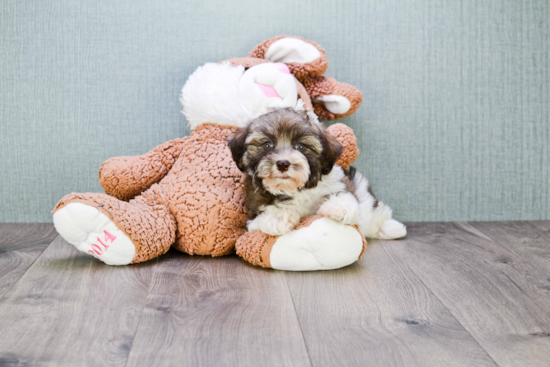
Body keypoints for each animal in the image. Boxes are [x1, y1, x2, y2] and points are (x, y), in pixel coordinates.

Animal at [230, 108, 410, 242]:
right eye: (267, 145)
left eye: (301, 147)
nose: (282, 163)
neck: (296, 190)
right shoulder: (252, 212)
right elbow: (261, 217)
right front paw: (279, 217)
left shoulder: (338, 182)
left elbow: (344, 196)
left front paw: (339, 207)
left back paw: (391, 228)